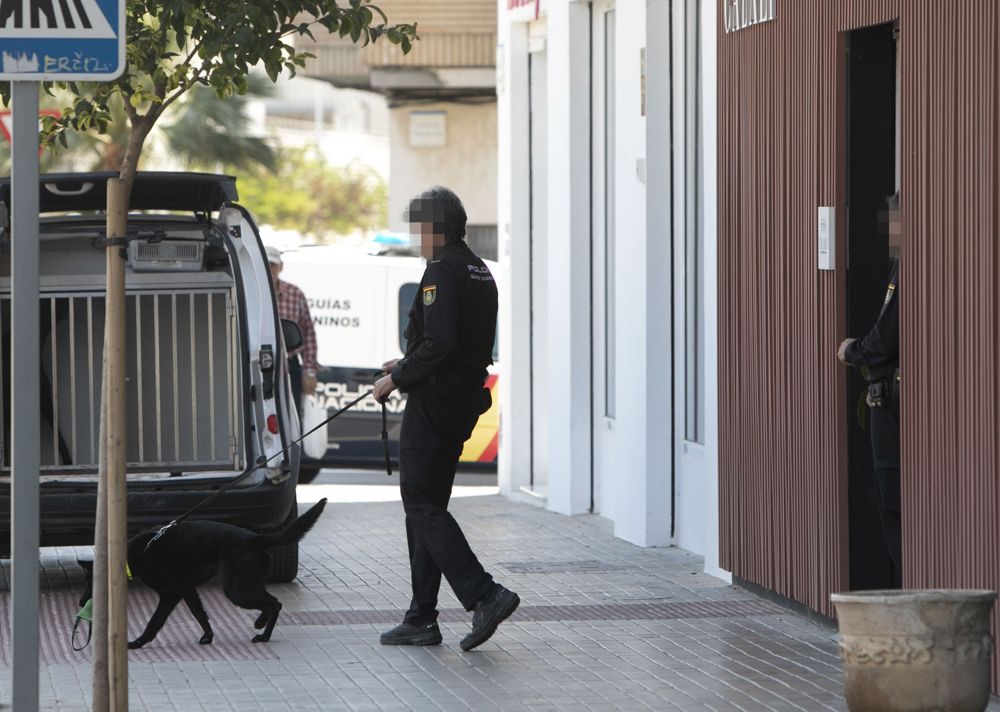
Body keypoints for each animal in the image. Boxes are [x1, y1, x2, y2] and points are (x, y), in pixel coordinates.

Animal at [81, 498, 328, 648]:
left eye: (91, 584)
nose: (81, 602)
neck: (133, 556)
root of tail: (254, 538)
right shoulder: (174, 595)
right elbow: (159, 621)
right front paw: (140, 642)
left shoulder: (179, 590)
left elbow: (192, 613)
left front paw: (207, 637)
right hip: (247, 584)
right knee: (270, 602)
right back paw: (260, 623)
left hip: (236, 590)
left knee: (275, 603)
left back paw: (263, 635)